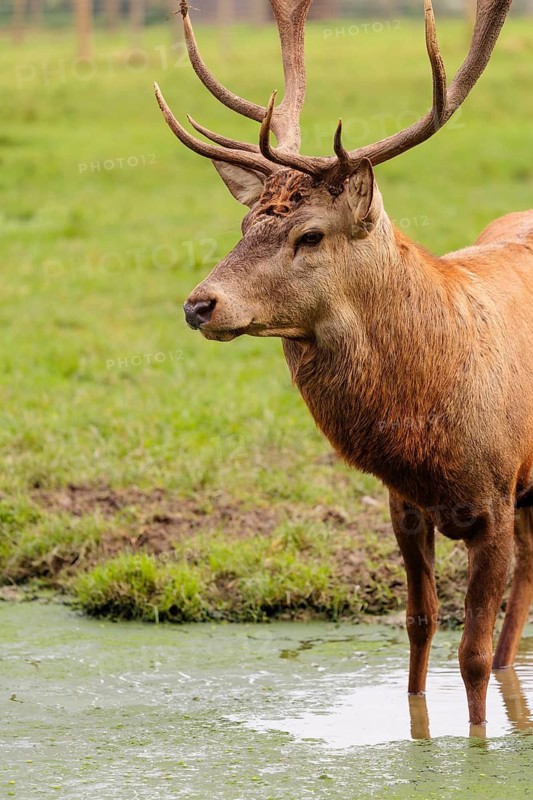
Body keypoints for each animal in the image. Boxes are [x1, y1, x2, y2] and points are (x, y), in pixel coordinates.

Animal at [155, 0, 533, 729]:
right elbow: (418, 625)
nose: (199, 303)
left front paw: (479, 742)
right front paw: (417, 730)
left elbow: (469, 654)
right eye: (244, 225)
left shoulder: (496, 494)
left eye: (309, 234)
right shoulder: (402, 502)